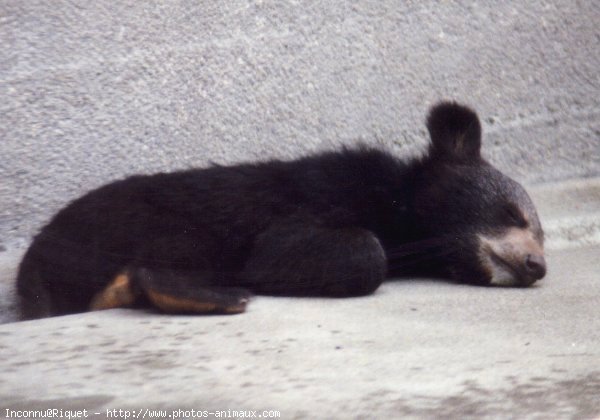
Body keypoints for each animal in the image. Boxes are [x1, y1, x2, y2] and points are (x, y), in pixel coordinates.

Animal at [16, 101, 548, 318]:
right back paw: (216, 295)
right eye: (513, 214)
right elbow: (287, 249)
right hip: (143, 223)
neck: (401, 209)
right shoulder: (318, 192)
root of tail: (32, 266)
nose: (536, 265)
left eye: (541, 235)